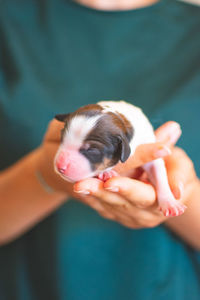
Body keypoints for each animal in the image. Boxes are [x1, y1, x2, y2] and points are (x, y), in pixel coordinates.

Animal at [54, 101, 186, 218]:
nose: (60, 167)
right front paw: (106, 172)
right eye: (62, 136)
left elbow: (158, 174)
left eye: (92, 150)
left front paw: (170, 203)